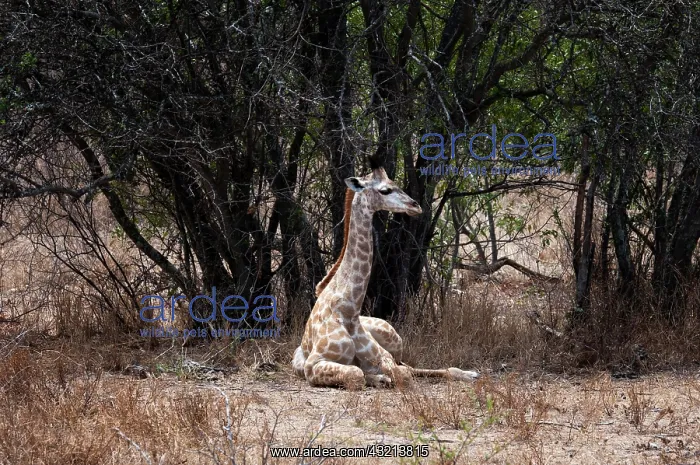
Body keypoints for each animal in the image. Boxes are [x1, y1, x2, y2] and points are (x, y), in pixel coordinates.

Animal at [292, 164, 479, 388]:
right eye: (385, 190)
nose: (415, 206)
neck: (349, 310)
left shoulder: (383, 356)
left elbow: (400, 374)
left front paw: (380, 377)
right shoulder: (313, 364)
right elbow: (357, 374)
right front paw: (377, 378)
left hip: (394, 338)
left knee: (411, 367)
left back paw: (469, 373)